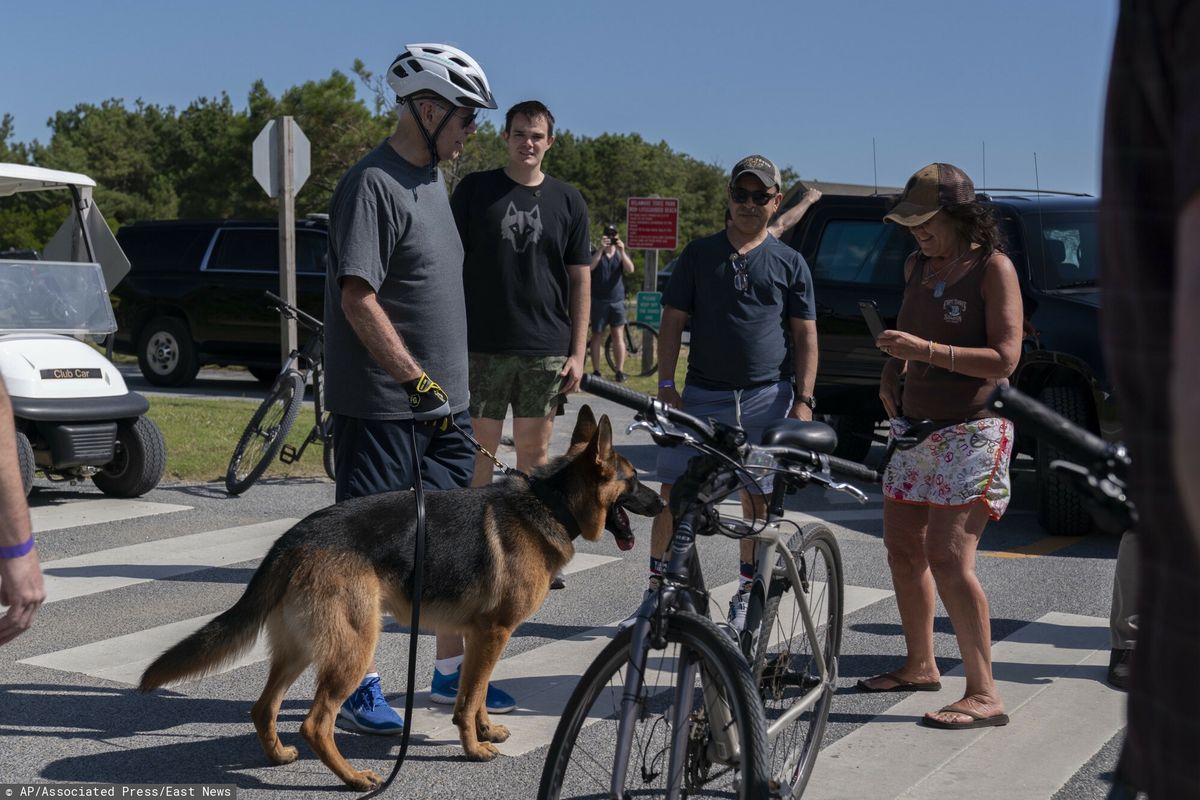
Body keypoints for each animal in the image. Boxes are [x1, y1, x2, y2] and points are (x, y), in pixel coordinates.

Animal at [144, 407, 667, 786]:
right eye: (635, 479)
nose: (665, 502)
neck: (550, 502)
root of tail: (295, 537)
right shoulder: (494, 633)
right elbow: (467, 699)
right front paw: (473, 748)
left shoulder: (481, 637)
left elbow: (475, 693)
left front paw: (484, 730)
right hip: (355, 645)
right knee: (316, 722)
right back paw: (354, 778)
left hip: (299, 649)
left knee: (264, 707)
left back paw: (278, 756)